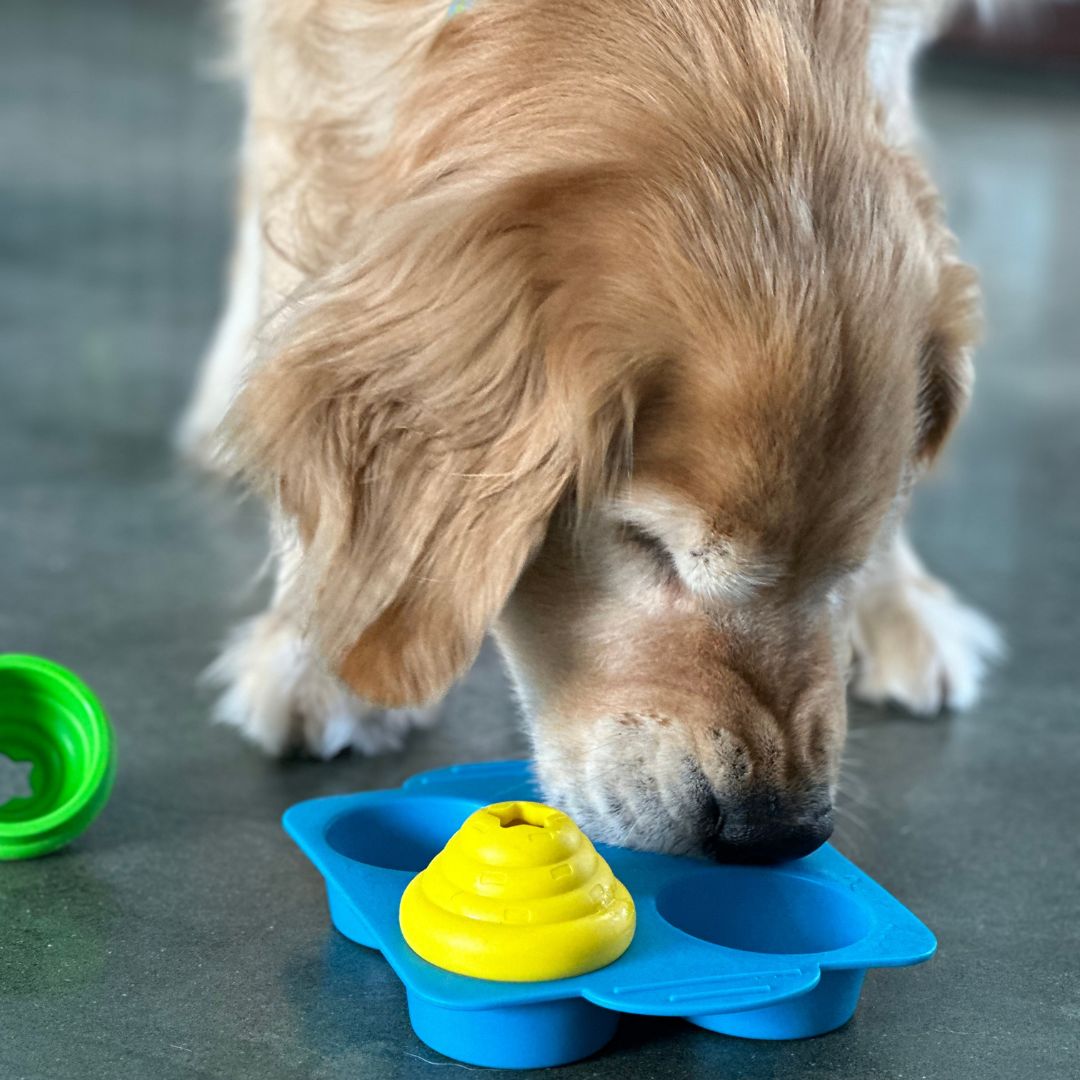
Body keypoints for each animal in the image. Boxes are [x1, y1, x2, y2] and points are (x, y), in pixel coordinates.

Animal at [179, 0, 1002, 859]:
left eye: (843, 564)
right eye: (648, 545)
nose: (777, 832)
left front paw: (893, 594)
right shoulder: (313, 65)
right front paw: (317, 648)